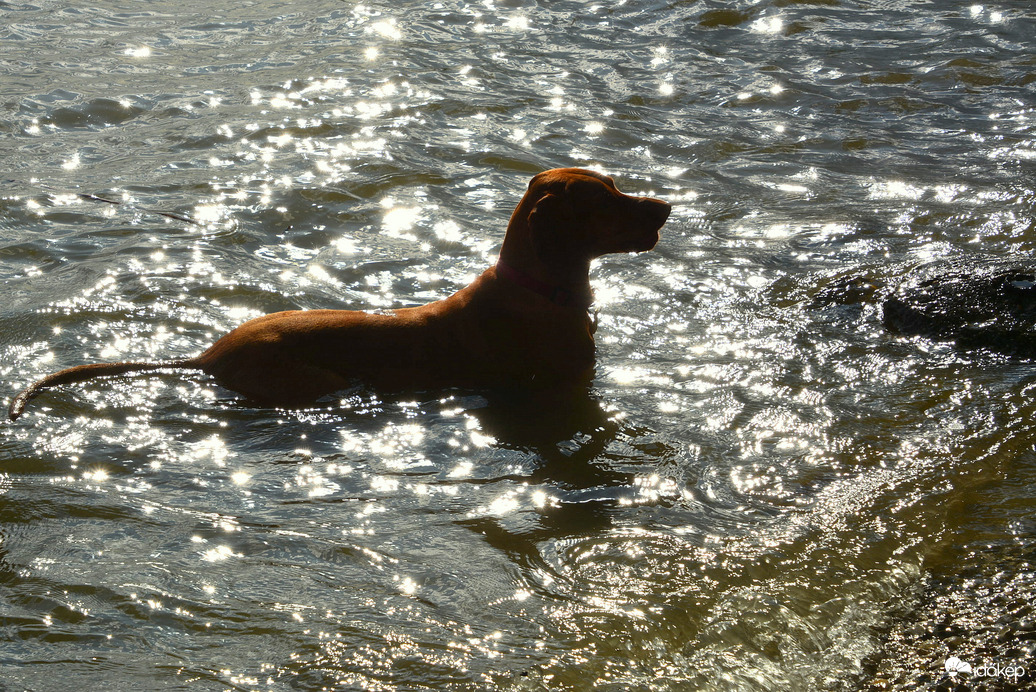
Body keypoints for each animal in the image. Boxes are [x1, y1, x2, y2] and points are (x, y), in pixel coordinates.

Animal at [8, 168, 671, 422]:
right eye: (604, 200)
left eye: (615, 186)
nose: (666, 206)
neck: (541, 291)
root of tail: (208, 356)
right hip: (312, 379)